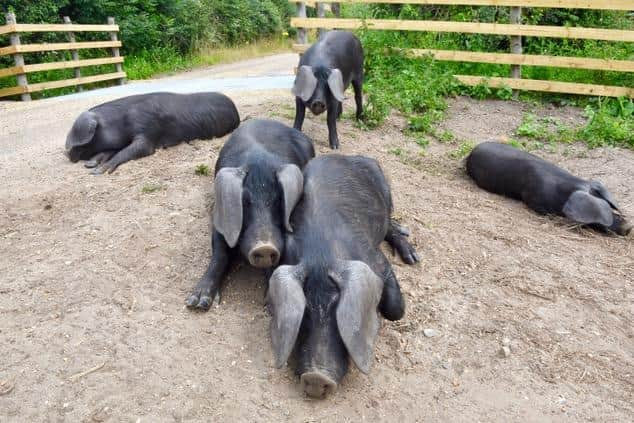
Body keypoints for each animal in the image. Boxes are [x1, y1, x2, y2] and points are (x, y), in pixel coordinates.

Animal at [65, 91, 239, 174]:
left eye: (85, 142)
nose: (67, 154)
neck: (120, 122)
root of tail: (236, 111)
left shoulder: (147, 130)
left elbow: (137, 149)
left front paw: (97, 171)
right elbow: (114, 149)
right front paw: (90, 165)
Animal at [185, 119, 316, 312]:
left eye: (278, 200)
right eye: (245, 202)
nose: (265, 247)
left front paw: (269, 303)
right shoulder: (220, 219)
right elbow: (219, 255)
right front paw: (196, 303)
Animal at [264, 154, 418, 400]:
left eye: (338, 314)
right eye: (305, 314)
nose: (316, 377)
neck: (321, 255)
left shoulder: (377, 259)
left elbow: (396, 310)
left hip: (386, 191)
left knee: (390, 224)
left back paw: (412, 255)